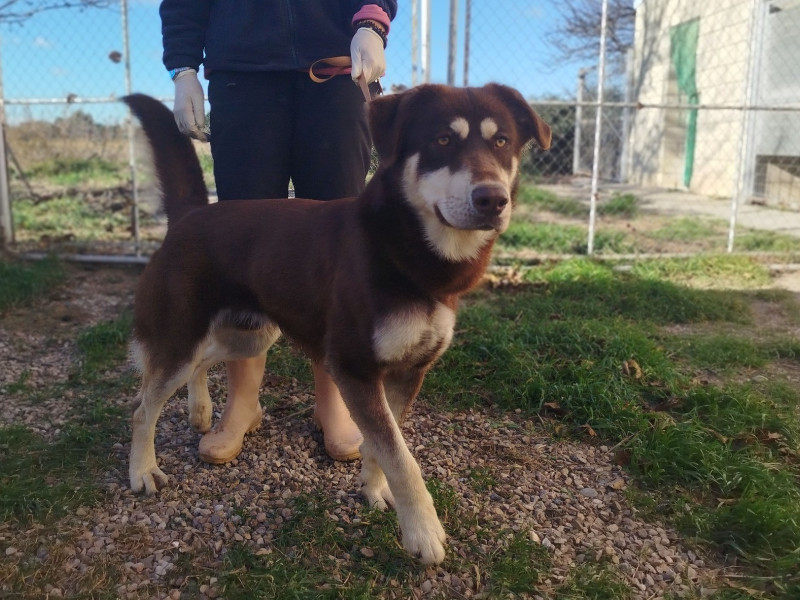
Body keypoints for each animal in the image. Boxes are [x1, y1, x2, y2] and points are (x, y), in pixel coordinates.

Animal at [125, 82, 552, 564]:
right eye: (442, 140)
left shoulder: (408, 371)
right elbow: (401, 457)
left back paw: (199, 410)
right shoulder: (354, 367)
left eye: (502, 142)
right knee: (143, 405)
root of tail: (189, 214)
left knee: (200, 364)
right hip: (183, 335)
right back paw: (143, 470)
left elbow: (386, 442)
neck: (404, 252)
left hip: (249, 334)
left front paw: (373, 489)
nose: (493, 199)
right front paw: (423, 533)